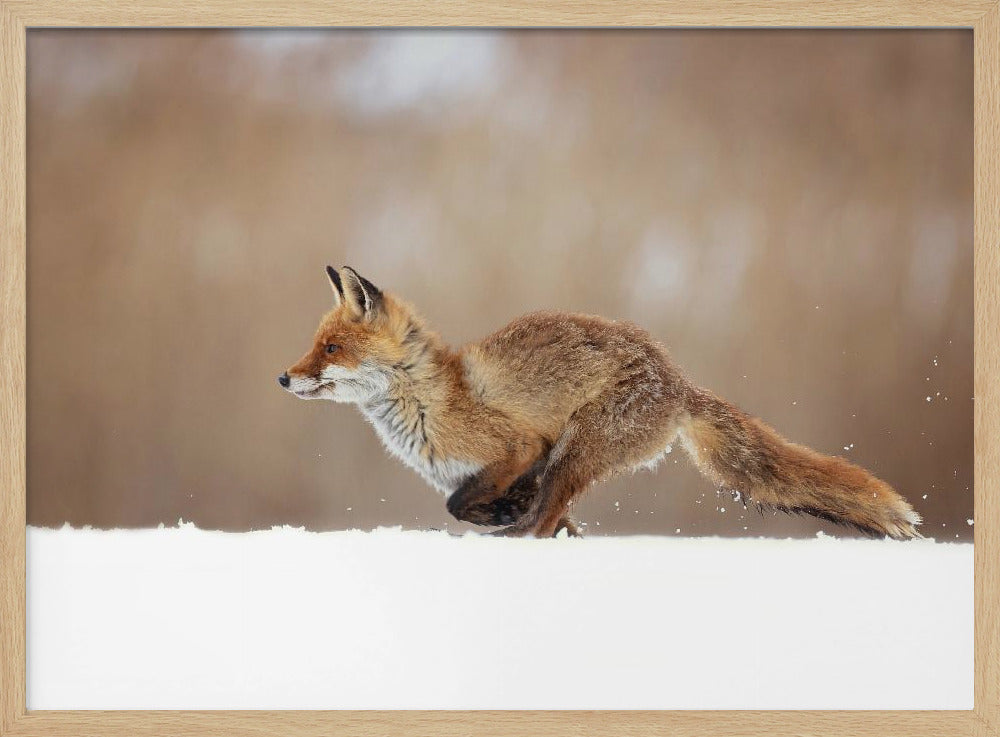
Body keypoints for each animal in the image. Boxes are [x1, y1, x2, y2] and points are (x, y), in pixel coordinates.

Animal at [278, 266, 922, 540]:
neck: (429, 399)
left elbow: (460, 504)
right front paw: (504, 514)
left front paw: (497, 519)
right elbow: (485, 504)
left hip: (576, 449)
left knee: (542, 522)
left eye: (331, 348)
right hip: (574, 457)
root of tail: (678, 378)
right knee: (551, 516)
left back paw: (516, 536)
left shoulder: (521, 446)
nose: (284, 378)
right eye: (315, 344)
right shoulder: (511, 469)